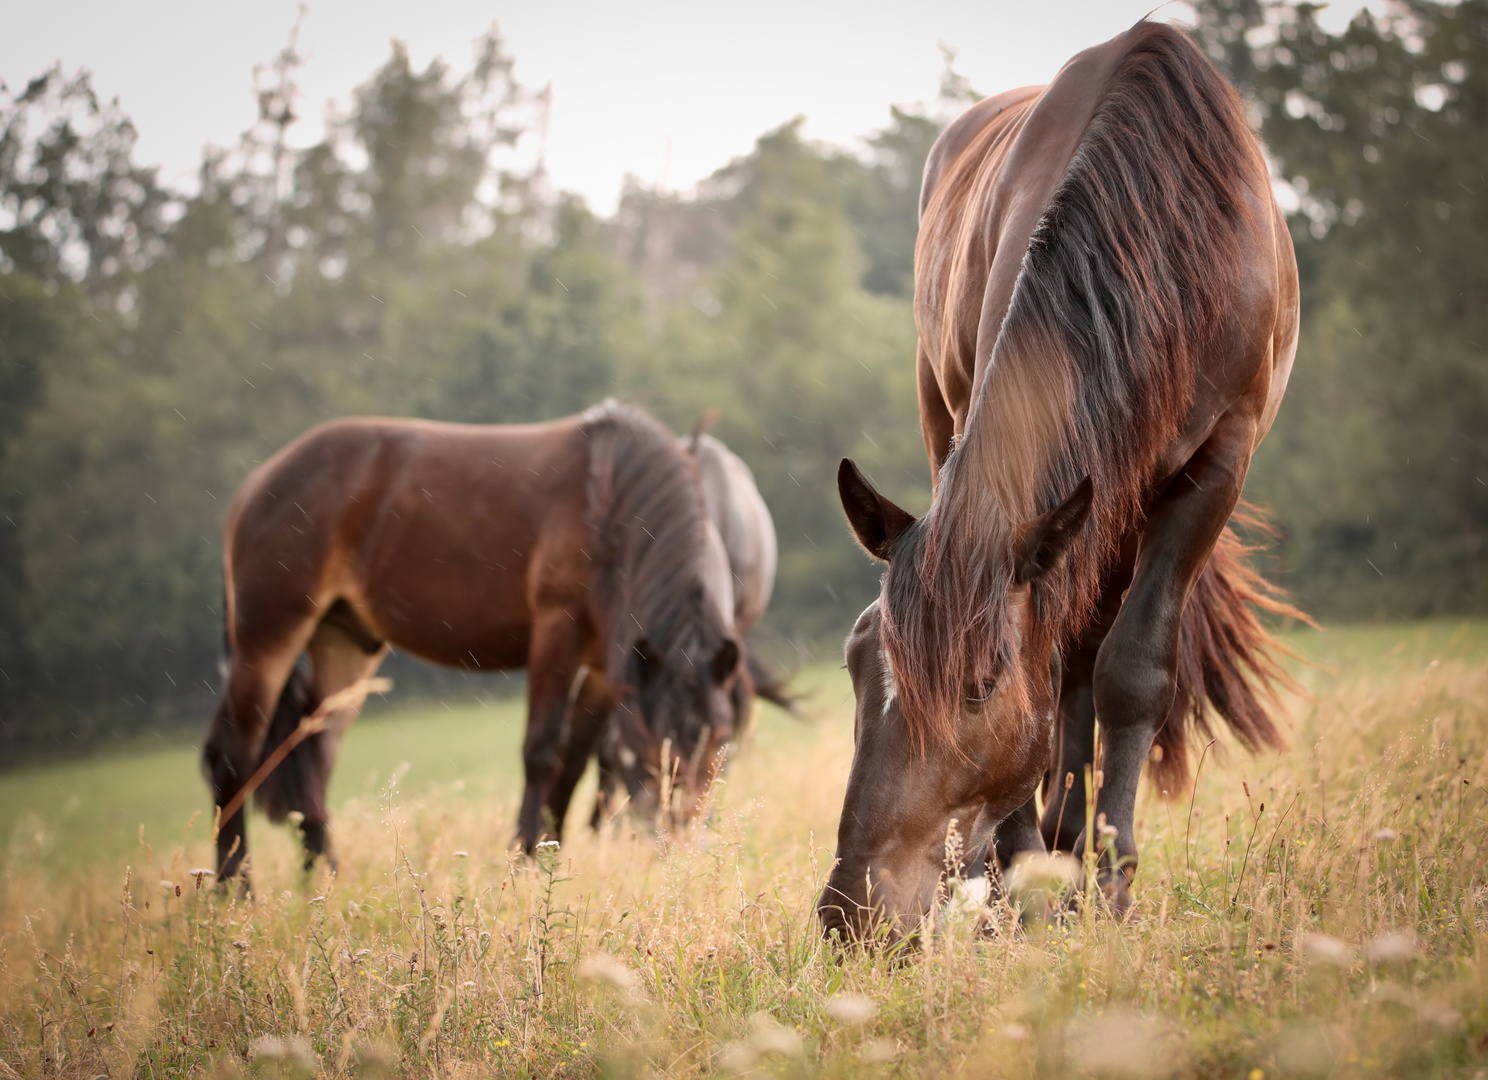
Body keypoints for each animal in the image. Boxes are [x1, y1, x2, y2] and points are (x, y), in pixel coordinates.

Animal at [205, 401, 744, 886]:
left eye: (721, 736)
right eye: (657, 741)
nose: (686, 837)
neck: (611, 505)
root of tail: (255, 485)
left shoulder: (605, 666)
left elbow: (571, 762)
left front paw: (551, 856)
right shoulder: (557, 632)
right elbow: (542, 752)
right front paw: (525, 863)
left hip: (344, 644)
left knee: (312, 754)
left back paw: (325, 883)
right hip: (268, 636)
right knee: (232, 753)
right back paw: (235, 888)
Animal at [827, 21, 1303, 946]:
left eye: (980, 687)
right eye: (858, 662)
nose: (851, 913)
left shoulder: (1217, 466)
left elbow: (1132, 668)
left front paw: (1110, 881)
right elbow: (1056, 680)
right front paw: (1025, 879)